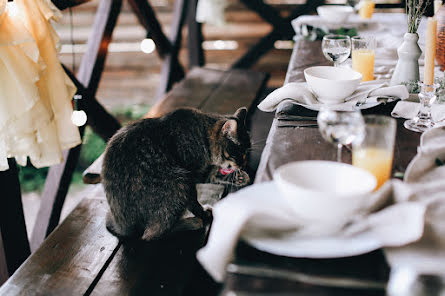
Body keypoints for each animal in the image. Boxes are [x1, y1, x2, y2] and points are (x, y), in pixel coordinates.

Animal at [101, 107, 250, 242]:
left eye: (247, 152)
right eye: (240, 153)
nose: (243, 164)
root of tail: (123, 227)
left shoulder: (199, 173)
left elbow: (212, 174)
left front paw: (240, 177)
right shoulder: (190, 176)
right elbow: (194, 203)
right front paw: (203, 213)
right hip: (178, 181)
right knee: (150, 235)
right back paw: (191, 223)